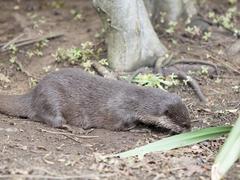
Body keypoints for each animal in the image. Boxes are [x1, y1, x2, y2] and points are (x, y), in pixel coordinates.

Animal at [0, 68, 191, 133]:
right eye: (183, 123)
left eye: (188, 120)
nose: (190, 129)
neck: (136, 101)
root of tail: (33, 93)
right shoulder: (119, 112)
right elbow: (123, 125)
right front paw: (139, 128)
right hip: (50, 98)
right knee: (50, 119)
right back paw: (72, 127)